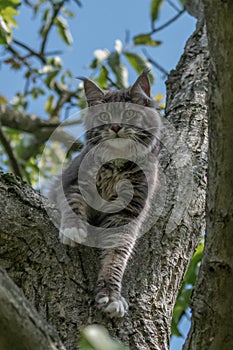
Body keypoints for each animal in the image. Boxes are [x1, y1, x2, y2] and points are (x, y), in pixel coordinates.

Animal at [49, 71, 161, 318]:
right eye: (104, 115)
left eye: (129, 113)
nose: (116, 126)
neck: (116, 165)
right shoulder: (71, 182)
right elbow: (73, 203)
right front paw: (74, 230)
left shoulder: (128, 213)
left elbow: (116, 257)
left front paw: (111, 295)